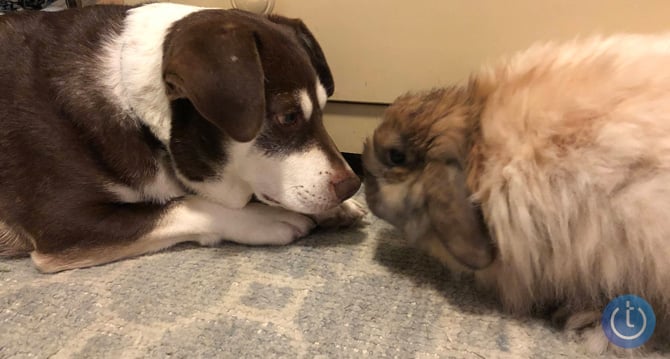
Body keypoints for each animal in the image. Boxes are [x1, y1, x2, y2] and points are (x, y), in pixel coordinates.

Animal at [0, 2, 364, 274]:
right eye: (288, 117)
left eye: (324, 108)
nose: (352, 185)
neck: (134, 104)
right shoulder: (65, 224)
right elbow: (182, 206)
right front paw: (265, 217)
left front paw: (339, 208)